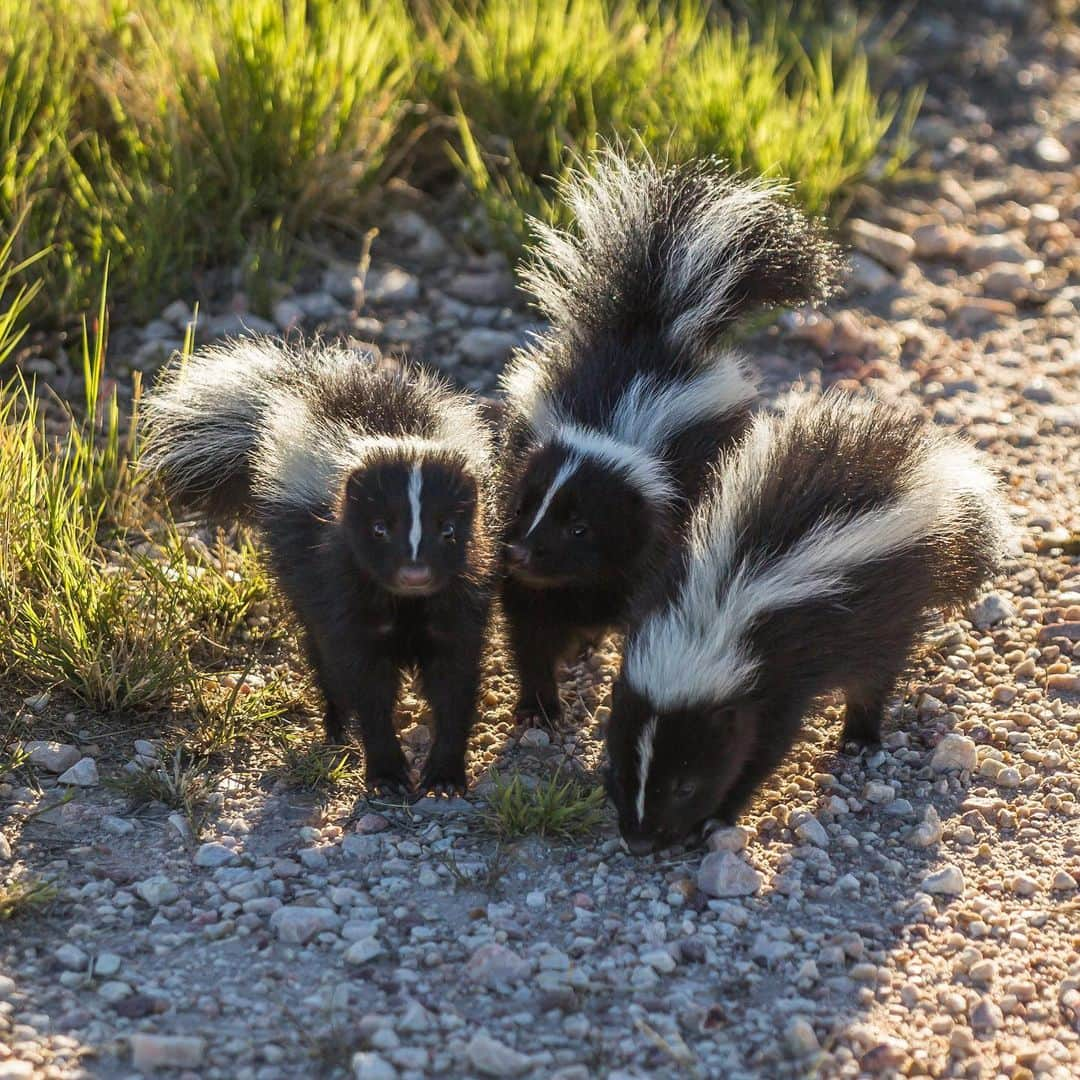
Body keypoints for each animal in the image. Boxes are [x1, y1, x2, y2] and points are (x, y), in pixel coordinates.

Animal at [141, 336, 494, 794]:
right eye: (378, 528)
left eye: (449, 530)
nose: (414, 573)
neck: (405, 603)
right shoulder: (341, 589)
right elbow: (364, 681)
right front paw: (387, 771)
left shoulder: (459, 601)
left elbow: (454, 681)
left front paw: (445, 774)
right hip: (296, 569)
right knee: (321, 654)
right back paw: (335, 724)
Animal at [496, 150, 842, 725]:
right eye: (524, 507)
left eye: (580, 528)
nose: (521, 553)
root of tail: (650, 323)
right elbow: (530, 626)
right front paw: (539, 703)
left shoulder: (653, 550)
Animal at [609, 388, 1010, 851]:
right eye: (618, 767)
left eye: (685, 786)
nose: (640, 840)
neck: (710, 612)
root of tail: (917, 468)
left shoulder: (780, 673)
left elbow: (763, 748)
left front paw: (717, 816)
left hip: (890, 609)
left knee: (875, 674)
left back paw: (859, 737)